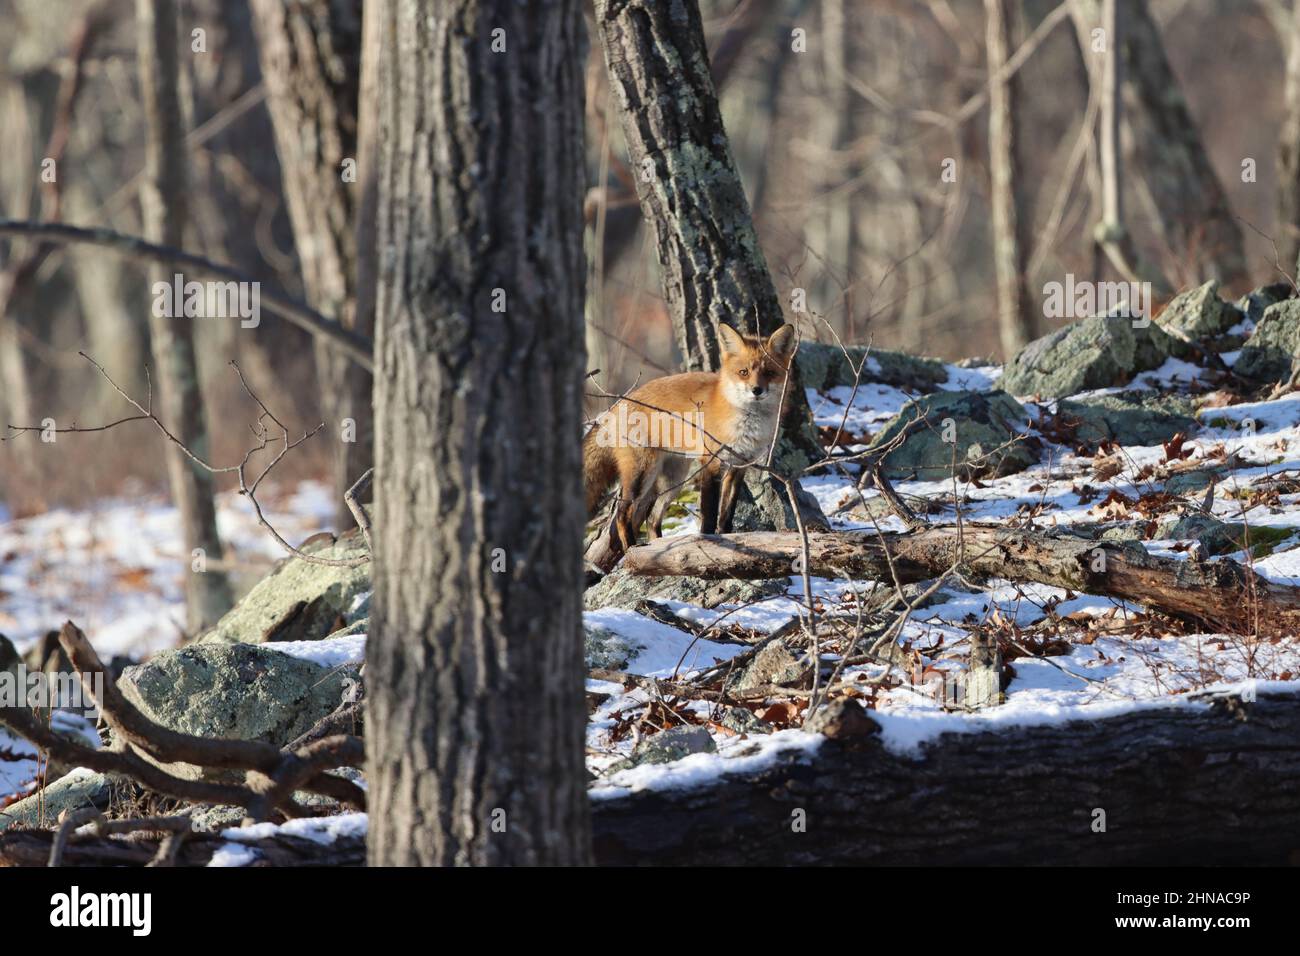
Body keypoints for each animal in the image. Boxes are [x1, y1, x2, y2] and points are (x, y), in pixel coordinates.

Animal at [584, 323, 797, 564]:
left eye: (769, 373)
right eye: (744, 372)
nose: (756, 390)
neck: (745, 420)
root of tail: (617, 405)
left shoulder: (739, 465)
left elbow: (727, 514)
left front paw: (728, 542)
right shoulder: (711, 463)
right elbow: (709, 514)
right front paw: (708, 545)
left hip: (672, 480)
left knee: (651, 518)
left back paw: (657, 551)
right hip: (643, 474)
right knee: (622, 513)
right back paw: (632, 550)